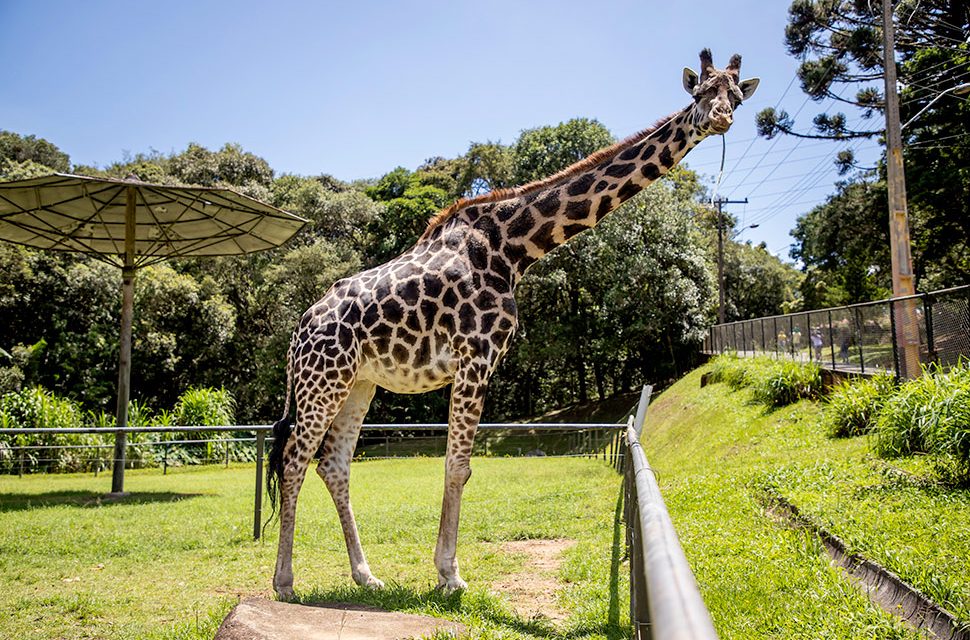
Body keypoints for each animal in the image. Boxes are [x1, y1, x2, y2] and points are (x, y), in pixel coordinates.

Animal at [266, 50, 756, 600]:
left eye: (735, 97)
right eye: (700, 94)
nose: (720, 118)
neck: (514, 249)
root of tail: (299, 330)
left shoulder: (473, 362)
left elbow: (456, 464)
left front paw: (443, 571)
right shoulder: (475, 356)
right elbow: (458, 466)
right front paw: (449, 575)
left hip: (358, 383)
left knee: (333, 463)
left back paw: (366, 575)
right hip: (322, 381)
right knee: (295, 459)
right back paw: (285, 582)